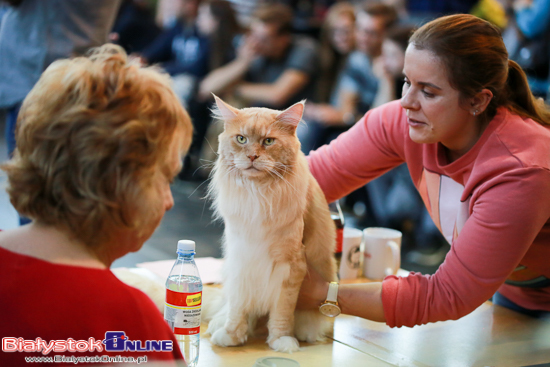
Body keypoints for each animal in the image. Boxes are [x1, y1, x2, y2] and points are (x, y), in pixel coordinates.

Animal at [206, 96, 338, 356]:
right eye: (241, 139)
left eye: (268, 141)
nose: (252, 157)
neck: (258, 193)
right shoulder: (242, 259)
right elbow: (238, 306)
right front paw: (231, 334)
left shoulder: (289, 267)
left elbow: (281, 312)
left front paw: (282, 340)